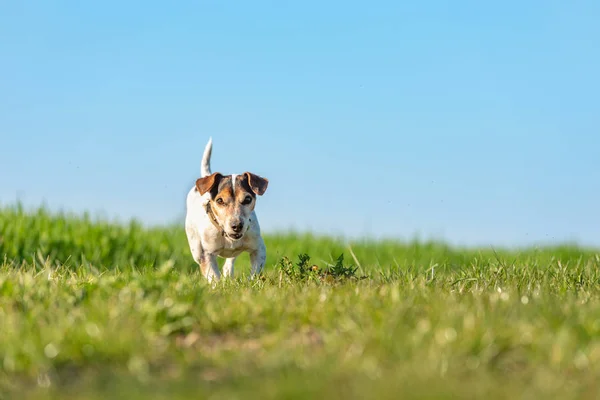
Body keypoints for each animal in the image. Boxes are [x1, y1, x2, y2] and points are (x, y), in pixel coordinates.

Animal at [183, 139, 268, 282]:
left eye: (247, 199)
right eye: (220, 200)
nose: (237, 226)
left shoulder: (259, 249)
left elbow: (255, 272)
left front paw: (250, 283)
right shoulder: (206, 255)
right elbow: (213, 276)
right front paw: (218, 285)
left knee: (230, 260)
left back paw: (228, 272)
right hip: (195, 247)